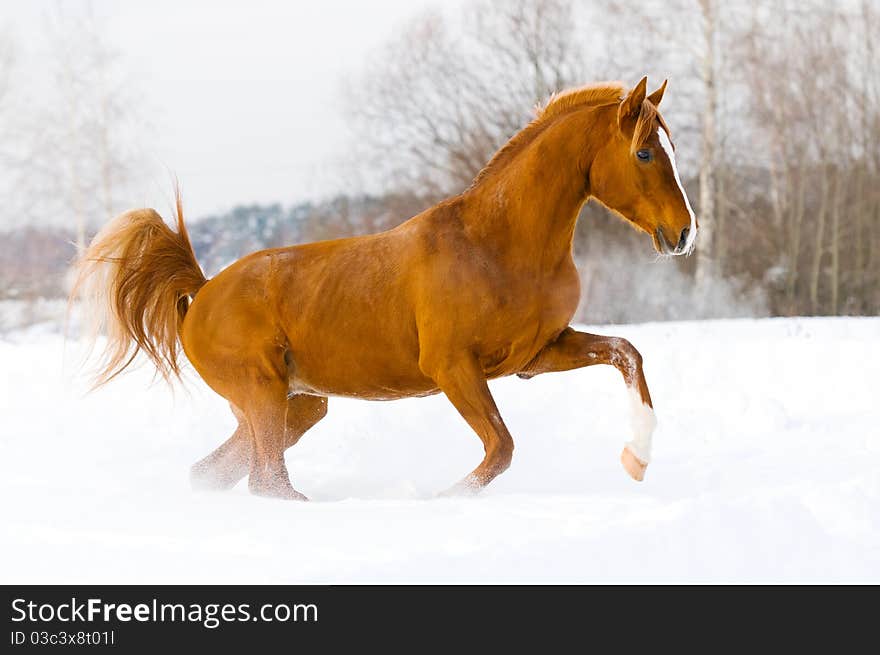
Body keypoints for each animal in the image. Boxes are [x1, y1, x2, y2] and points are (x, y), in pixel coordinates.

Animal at [74, 77, 696, 500]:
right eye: (644, 152)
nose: (685, 232)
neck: (497, 244)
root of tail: (200, 292)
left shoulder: (534, 355)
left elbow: (627, 354)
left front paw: (637, 459)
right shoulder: (452, 367)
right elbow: (500, 449)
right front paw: (443, 500)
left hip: (298, 403)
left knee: (219, 471)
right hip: (263, 393)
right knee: (266, 481)